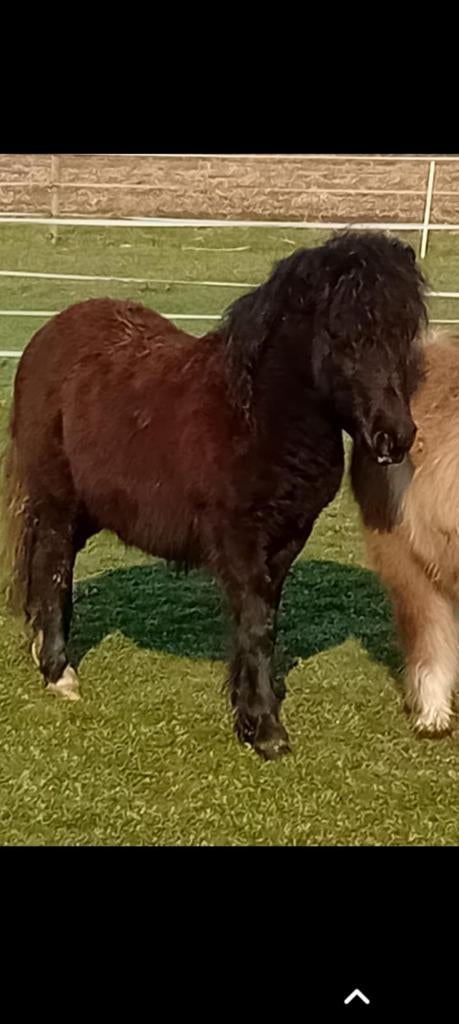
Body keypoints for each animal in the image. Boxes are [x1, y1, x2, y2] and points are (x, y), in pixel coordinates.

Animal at [1, 230, 427, 760]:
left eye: (405, 333)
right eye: (340, 335)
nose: (396, 437)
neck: (256, 415)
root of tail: (48, 335)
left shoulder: (285, 541)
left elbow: (263, 623)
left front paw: (251, 712)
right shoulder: (240, 542)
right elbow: (255, 625)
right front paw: (265, 730)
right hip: (57, 502)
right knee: (53, 568)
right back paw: (59, 673)